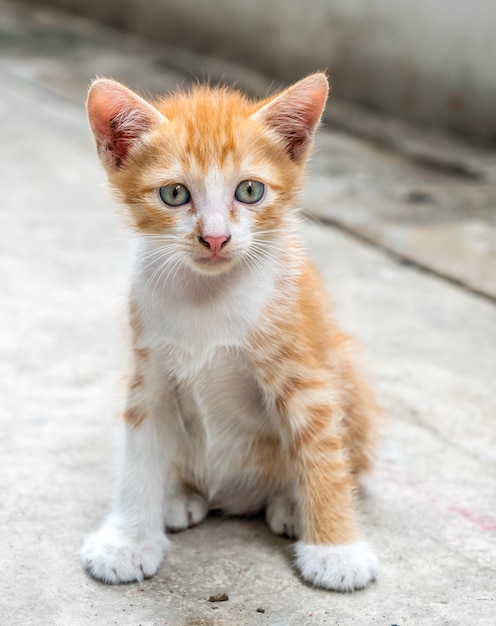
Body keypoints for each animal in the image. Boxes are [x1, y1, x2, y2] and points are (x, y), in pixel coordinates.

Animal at [83, 74, 382, 588]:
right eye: (174, 195)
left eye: (249, 191)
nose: (216, 238)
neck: (206, 295)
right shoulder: (149, 376)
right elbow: (139, 455)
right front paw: (128, 540)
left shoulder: (305, 376)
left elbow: (322, 455)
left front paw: (336, 550)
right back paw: (180, 495)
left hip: (346, 367)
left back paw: (290, 505)